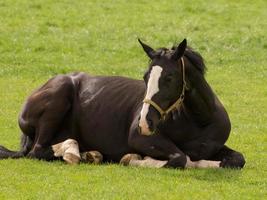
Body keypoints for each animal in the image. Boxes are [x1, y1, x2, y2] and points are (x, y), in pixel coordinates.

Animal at [0, 38, 246, 169]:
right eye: (145, 77)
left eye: (169, 77)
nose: (145, 123)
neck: (198, 121)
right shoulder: (138, 138)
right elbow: (180, 158)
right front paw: (135, 159)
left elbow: (237, 160)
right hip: (59, 98)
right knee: (38, 151)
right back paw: (75, 153)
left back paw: (89, 154)